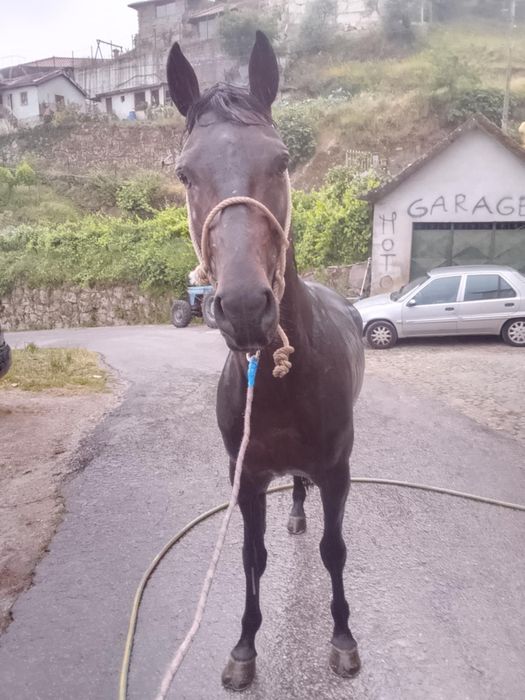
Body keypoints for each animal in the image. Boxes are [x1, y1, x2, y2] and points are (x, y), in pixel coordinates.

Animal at [166, 31, 365, 691]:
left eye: (281, 160)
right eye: (185, 172)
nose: (246, 307)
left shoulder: (337, 471)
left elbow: (334, 551)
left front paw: (342, 637)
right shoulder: (245, 475)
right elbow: (251, 557)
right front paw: (244, 645)